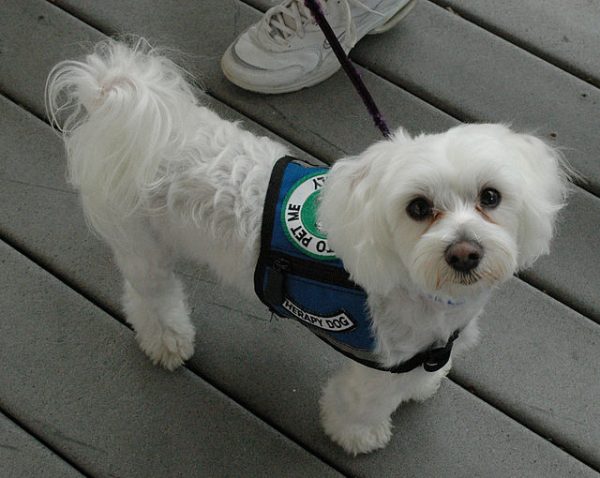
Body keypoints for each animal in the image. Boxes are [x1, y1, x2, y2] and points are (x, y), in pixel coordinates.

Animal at [45, 39, 568, 454]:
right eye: (418, 208)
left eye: (490, 197)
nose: (464, 252)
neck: (428, 296)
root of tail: (118, 97)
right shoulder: (376, 368)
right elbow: (360, 405)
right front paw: (358, 435)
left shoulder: (421, 351)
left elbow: (420, 375)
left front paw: (425, 385)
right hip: (143, 245)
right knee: (149, 297)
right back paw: (167, 340)